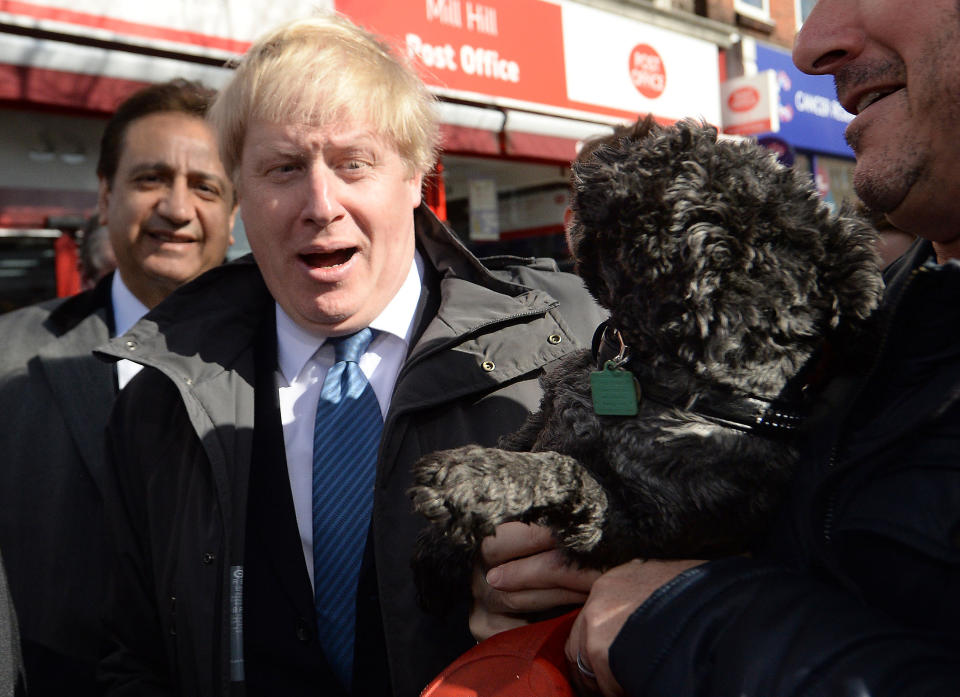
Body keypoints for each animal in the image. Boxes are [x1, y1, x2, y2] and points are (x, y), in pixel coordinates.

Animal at [408, 117, 880, 612]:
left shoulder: (630, 531)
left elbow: (567, 471)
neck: (659, 381)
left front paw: (471, 479)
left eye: (669, 153)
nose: (632, 129)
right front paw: (443, 543)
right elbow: (522, 443)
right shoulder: (544, 417)